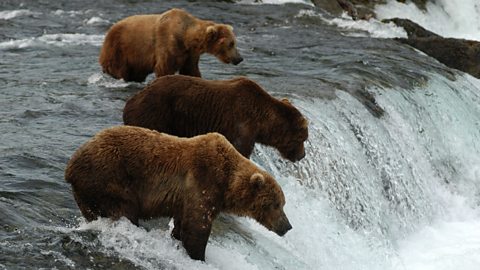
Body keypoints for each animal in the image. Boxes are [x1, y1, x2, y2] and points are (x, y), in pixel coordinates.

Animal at [65, 126, 290, 262]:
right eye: (276, 204)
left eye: (283, 203)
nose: (287, 226)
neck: (228, 184)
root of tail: (70, 166)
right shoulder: (203, 182)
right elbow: (197, 228)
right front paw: (198, 256)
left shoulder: (186, 200)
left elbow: (182, 224)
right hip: (109, 177)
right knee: (124, 209)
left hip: (86, 191)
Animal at [100, 8, 244, 82]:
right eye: (231, 43)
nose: (240, 58)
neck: (186, 37)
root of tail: (110, 29)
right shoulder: (167, 44)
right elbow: (164, 67)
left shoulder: (190, 53)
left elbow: (190, 70)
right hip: (120, 48)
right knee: (118, 68)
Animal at [124, 75, 310, 161]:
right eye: (303, 138)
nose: (302, 155)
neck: (262, 122)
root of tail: (131, 100)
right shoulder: (242, 124)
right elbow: (240, 150)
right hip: (156, 113)